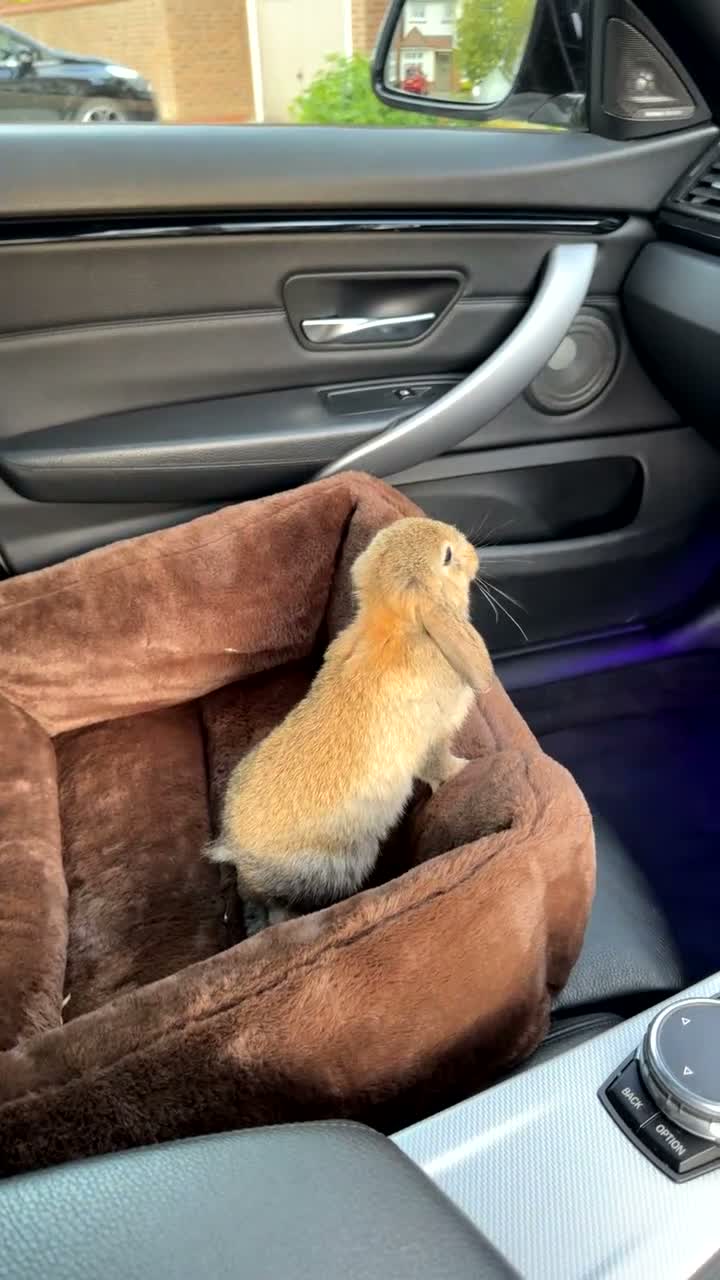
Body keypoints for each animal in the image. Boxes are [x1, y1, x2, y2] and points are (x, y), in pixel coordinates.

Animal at [207, 516, 494, 936]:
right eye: (447, 556)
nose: (473, 553)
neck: (399, 624)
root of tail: (236, 851)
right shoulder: (433, 739)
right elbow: (438, 765)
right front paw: (464, 769)